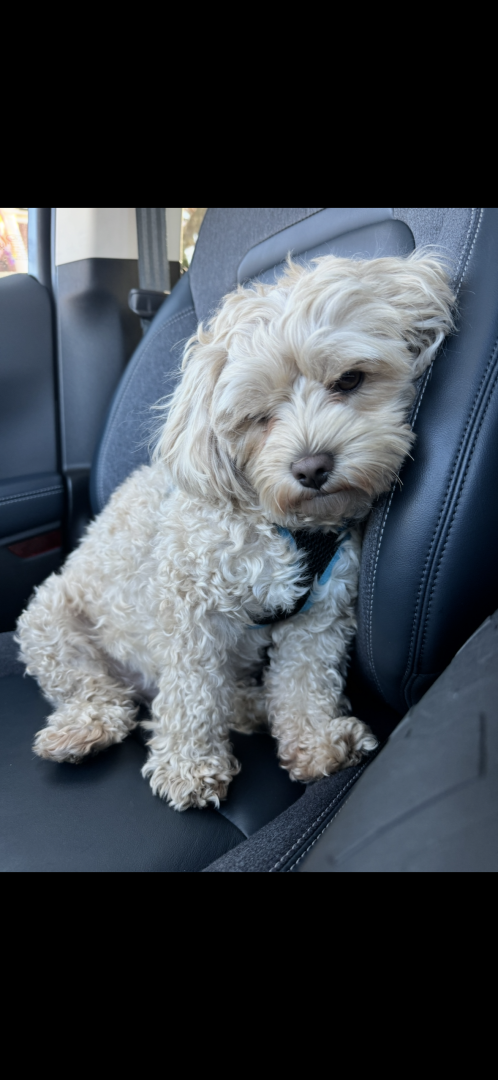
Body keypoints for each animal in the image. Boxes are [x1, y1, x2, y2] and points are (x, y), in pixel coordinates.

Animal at [16, 253, 455, 811]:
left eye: (350, 379)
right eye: (257, 416)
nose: (311, 467)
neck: (281, 527)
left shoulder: (322, 611)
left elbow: (305, 678)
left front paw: (317, 742)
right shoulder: (191, 607)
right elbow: (193, 691)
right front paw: (188, 766)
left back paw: (253, 708)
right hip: (49, 623)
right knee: (97, 691)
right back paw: (84, 728)